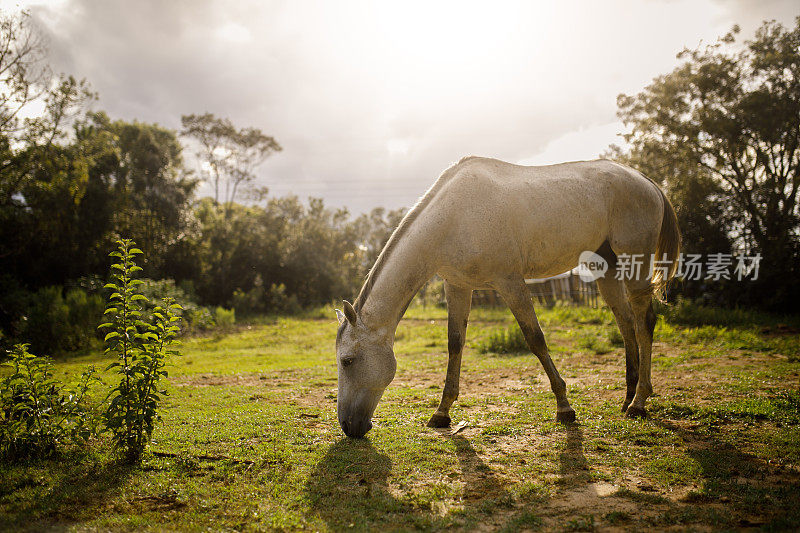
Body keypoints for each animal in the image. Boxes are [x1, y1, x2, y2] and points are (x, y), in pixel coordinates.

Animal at [334, 157, 680, 436]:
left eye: (347, 361)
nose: (348, 426)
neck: (454, 217)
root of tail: (645, 180)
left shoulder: (511, 283)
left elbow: (535, 338)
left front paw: (564, 407)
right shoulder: (457, 286)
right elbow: (455, 344)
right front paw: (442, 413)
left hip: (636, 262)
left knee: (644, 322)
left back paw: (638, 403)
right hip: (605, 265)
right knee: (625, 323)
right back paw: (627, 397)